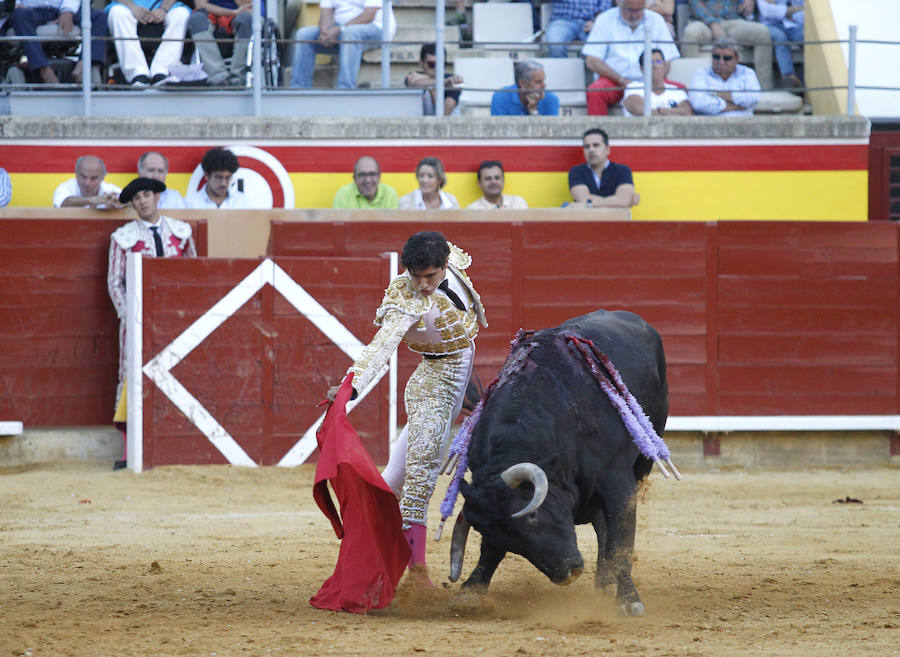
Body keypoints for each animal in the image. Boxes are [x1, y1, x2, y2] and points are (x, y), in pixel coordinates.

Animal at [448, 308, 668, 616]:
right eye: (510, 541)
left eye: (534, 516)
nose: (569, 573)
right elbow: (489, 551)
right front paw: (471, 591)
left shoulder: (617, 483)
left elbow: (622, 538)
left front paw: (629, 599)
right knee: (601, 526)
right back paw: (603, 583)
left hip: (645, 455)